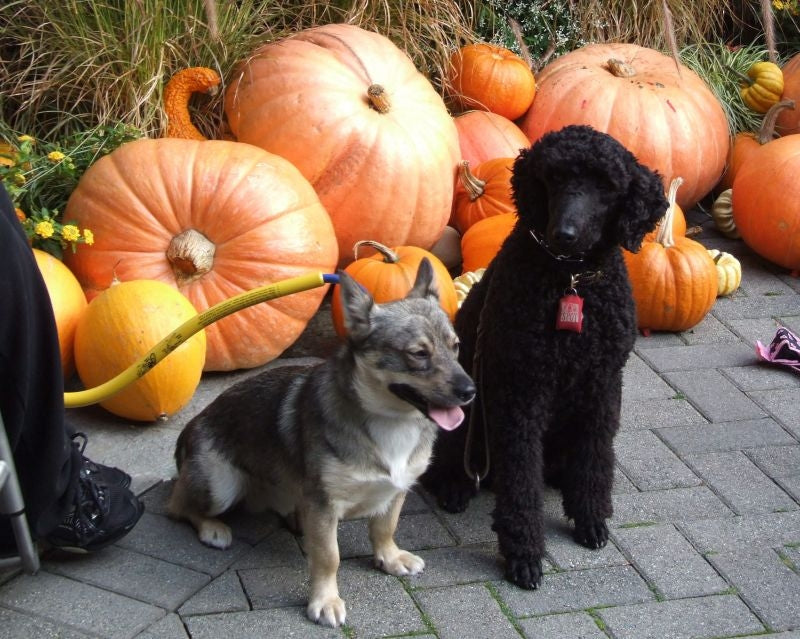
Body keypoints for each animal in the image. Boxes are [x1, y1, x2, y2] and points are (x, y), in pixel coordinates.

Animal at [166, 258, 472, 628]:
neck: (391, 422)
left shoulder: (396, 490)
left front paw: (389, 557)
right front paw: (325, 600)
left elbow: (384, 527)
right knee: (177, 505)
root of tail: (190, 427)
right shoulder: (325, 505)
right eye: (418, 354)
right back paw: (212, 528)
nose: (470, 391)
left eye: (456, 347)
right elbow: (329, 557)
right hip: (221, 486)